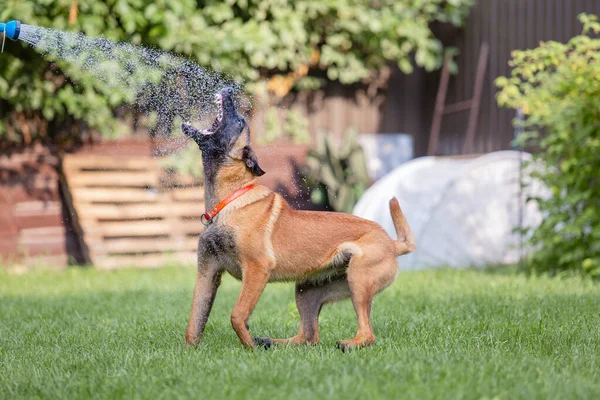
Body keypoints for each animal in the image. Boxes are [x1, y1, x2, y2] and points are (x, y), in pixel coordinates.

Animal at [183, 87, 414, 350]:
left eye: (240, 122)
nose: (229, 89)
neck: (229, 200)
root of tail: (392, 244)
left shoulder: (257, 268)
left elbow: (237, 314)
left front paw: (249, 347)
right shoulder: (207, 272)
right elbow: (194, 322)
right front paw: (190, 352)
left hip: (358, 279)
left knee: (366, 333)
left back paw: (348, 344)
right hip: (307, 288)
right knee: (308, 336)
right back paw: (272, 342)